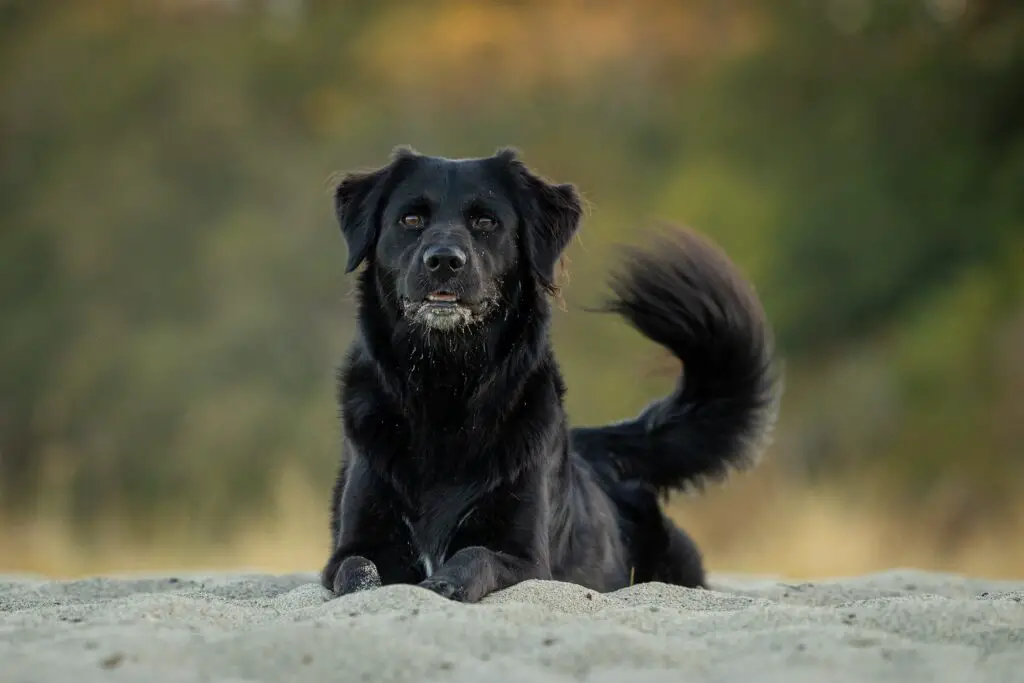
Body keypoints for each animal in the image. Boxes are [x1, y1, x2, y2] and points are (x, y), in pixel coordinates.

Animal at [317, 147, 774, 602]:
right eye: (411, 219)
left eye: (486, 222)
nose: (444, 260)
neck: (444, 386)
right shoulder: (352, 547)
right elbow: (358, 568)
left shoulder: (527, 558)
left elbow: (475, 555)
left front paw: (445, 583)